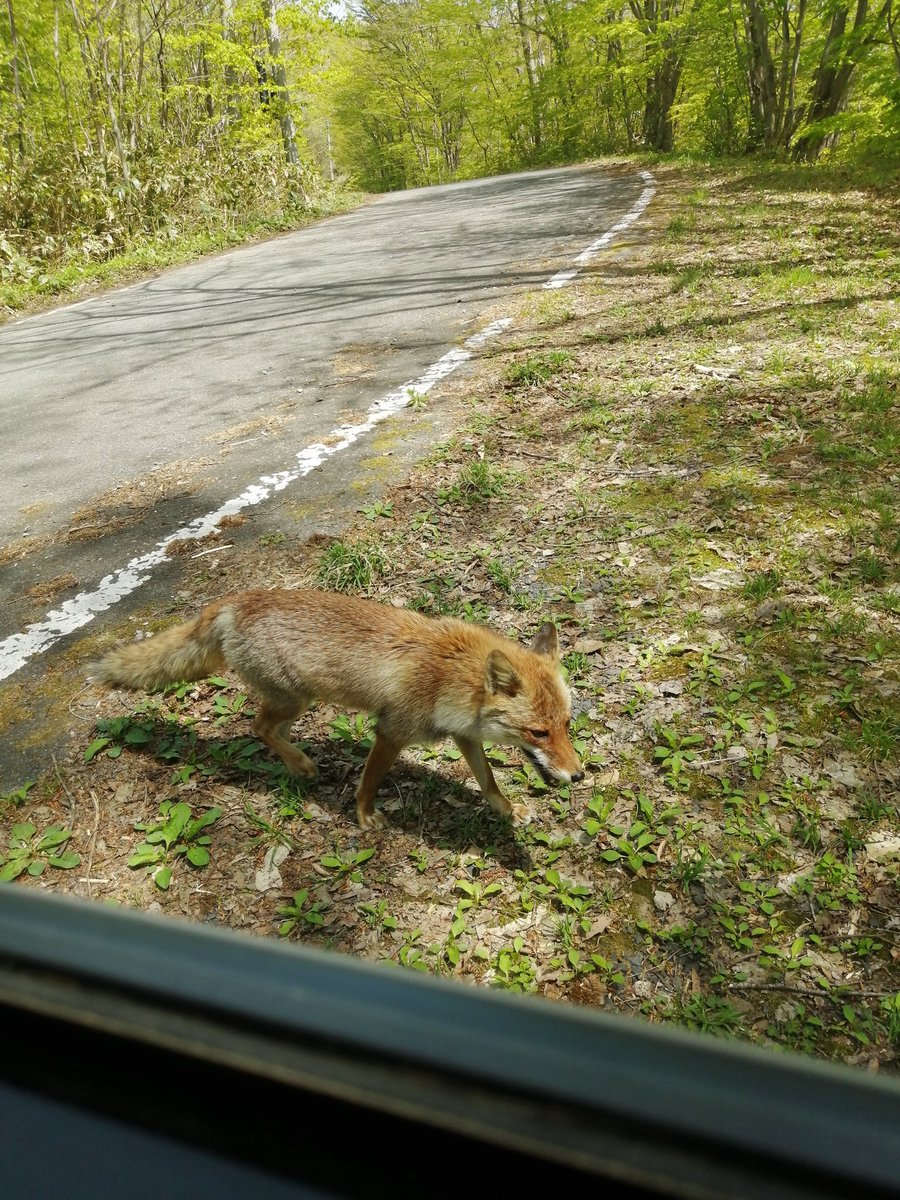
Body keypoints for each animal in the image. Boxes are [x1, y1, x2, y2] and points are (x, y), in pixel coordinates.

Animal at [87, 589, 583, 830]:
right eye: (538, 733)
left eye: (565, 725)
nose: (579, 776)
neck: (450, 673)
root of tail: (233, 601)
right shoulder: (392, 731)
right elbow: (369, 781)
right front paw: (364, 818)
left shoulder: (463, 734)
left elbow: (488, 781)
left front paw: (508, 812)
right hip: (295, 698)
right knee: (257, 726)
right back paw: (302, 765)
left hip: (294, 701)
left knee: (269, 730)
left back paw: (299, 764)